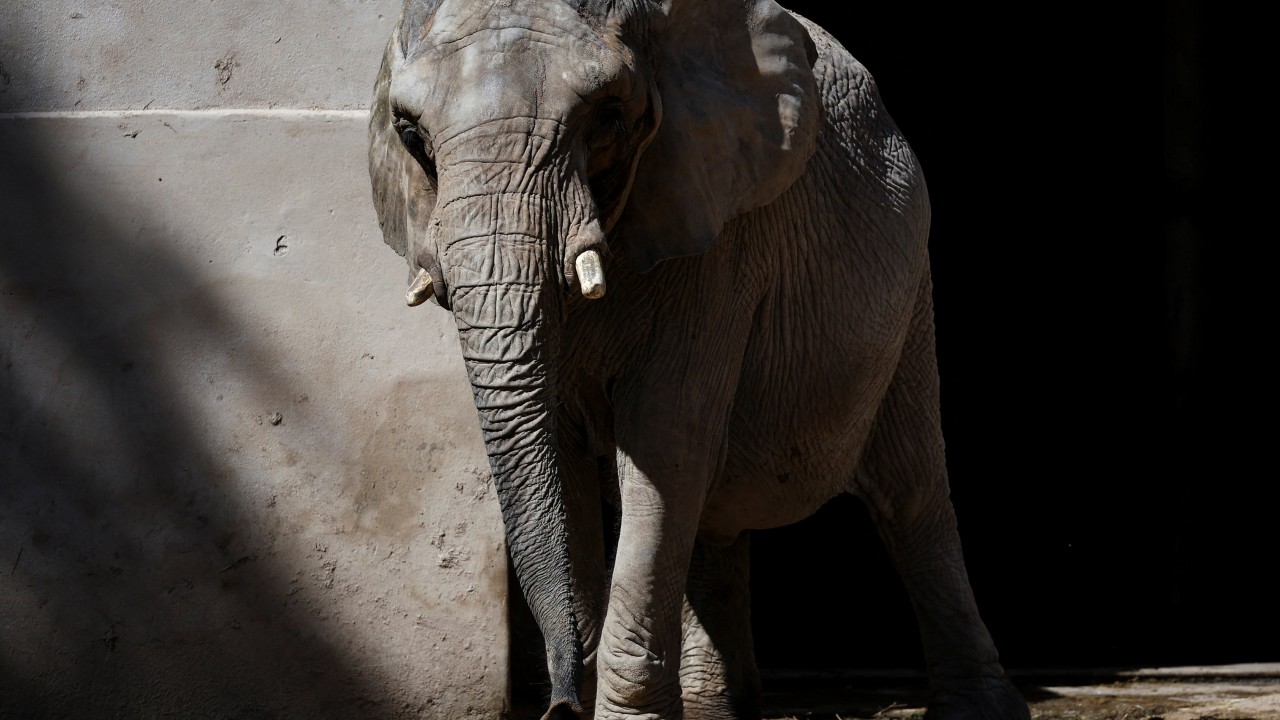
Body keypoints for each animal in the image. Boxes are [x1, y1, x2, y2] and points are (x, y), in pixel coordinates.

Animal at [366, 0, 1030, 718]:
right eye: (410, 133)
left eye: (606, 116)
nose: (557, 702)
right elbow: (568, 459)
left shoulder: (717, 237)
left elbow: (664, 447)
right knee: (716, 512)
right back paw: (721, 707)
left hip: (908, 293)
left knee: (912, 497)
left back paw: (980, 709)